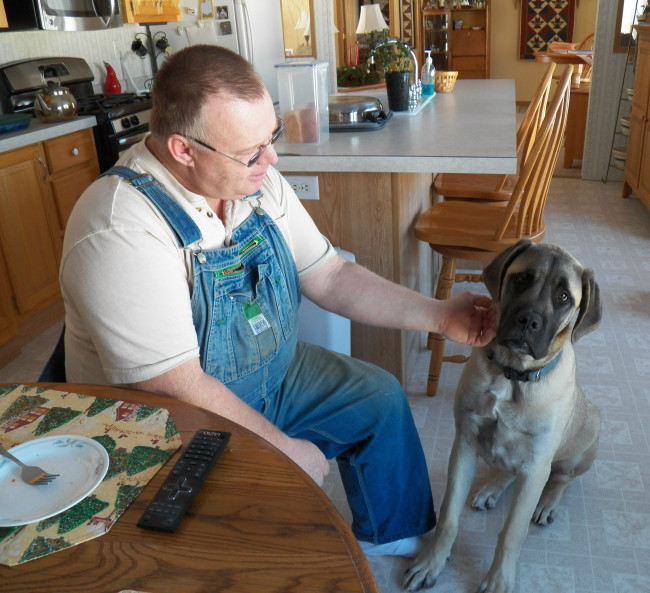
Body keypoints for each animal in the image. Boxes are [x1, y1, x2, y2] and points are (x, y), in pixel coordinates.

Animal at [402, 238, 600, 592]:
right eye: (521, 279)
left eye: (564, 296)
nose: (528, 321)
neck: (512, 375)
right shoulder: (464, 444)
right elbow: (449, 515)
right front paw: (431, 561)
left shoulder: (536, 463)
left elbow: (511, 534)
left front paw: (498, 579)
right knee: (510, 470)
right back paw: (491, 488)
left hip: (589, 433)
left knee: (561, 478)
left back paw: (547, 502)